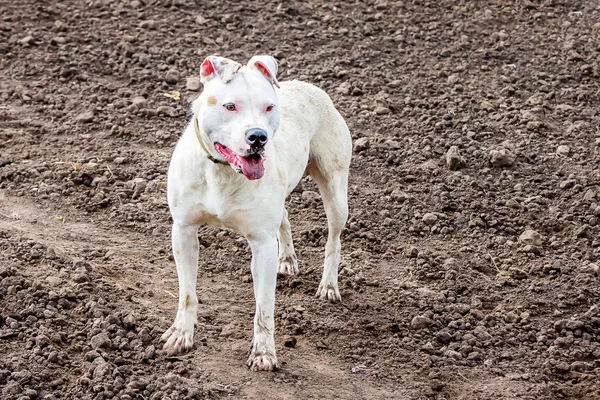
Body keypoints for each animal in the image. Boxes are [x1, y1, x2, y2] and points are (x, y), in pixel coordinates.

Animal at [162, 54, 354, 370]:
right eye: (230, 106)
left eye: (269, 107)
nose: (258, 137)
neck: (223, 171)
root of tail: (308, 86)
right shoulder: (183, 230)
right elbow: (187, 293)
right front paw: (181, 334)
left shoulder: (262, 244)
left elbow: (264, 308)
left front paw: (264, 353)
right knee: (284, 216)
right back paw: (287, 259)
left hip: (336, 191)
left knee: (333, 240)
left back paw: (328, 284)